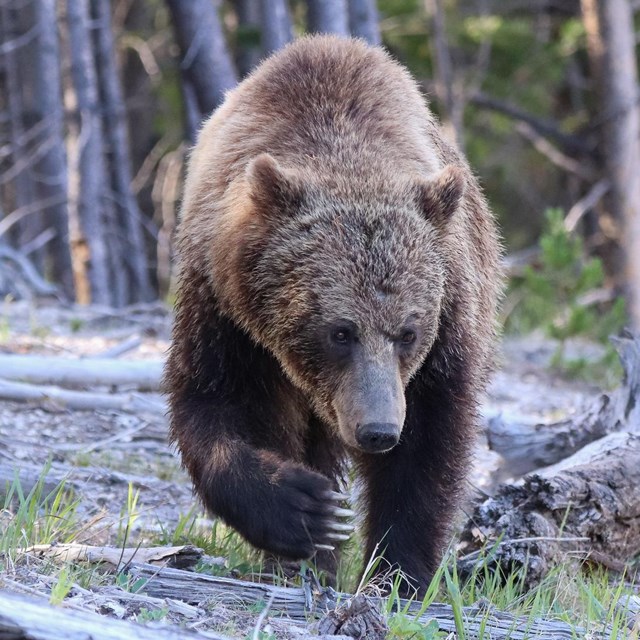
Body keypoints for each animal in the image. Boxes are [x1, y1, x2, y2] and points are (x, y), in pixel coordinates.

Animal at [164, 35, 500, 596]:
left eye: (408, 332)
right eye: (341, 331)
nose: (378, 430)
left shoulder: (449, 315)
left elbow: (428, 443)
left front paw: (396, 571)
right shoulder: (224, 310)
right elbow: (217, 402)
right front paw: (306, 510)